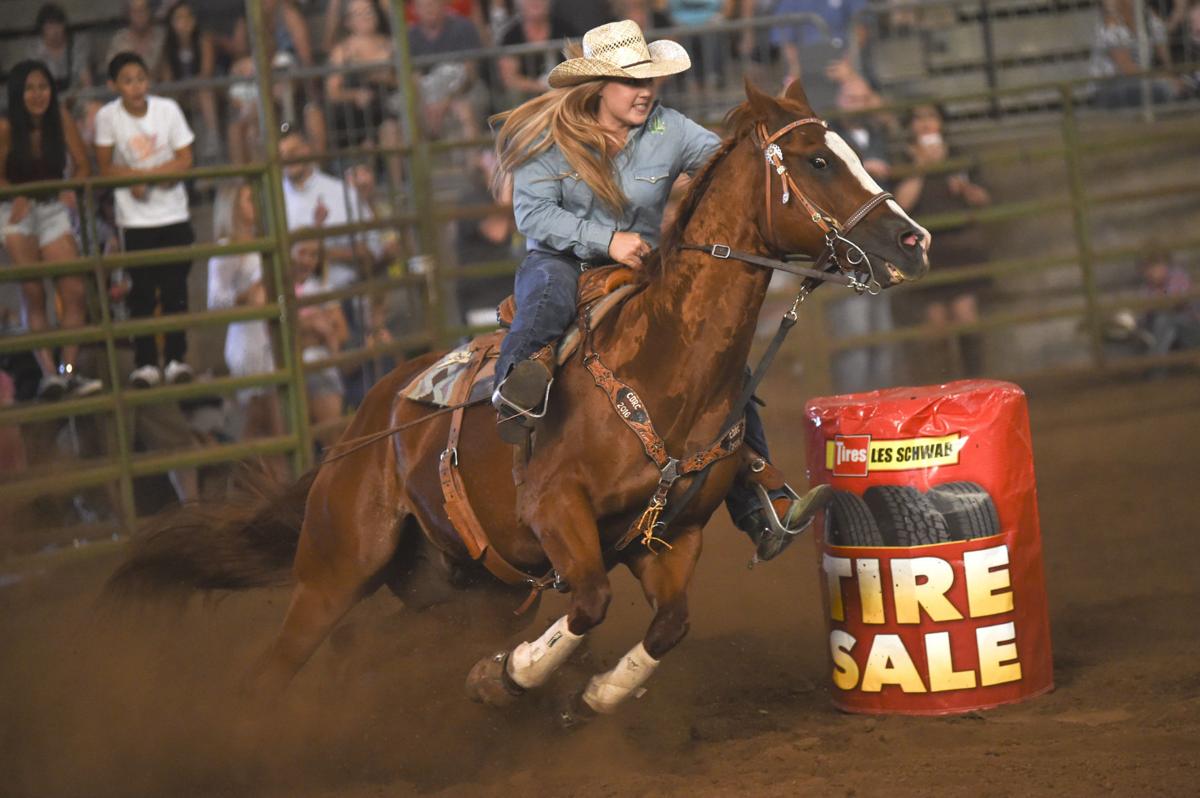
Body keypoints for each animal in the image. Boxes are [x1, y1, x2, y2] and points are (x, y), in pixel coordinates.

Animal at [110, 81, 926, 715]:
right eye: (819, 160)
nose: (912, 241)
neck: (663, 369)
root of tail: (358, 431)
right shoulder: (557, 512)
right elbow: (590, 604)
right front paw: (507, 679)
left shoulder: (672, 537)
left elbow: (669, 626)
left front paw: (595, 694)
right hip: (335, 572)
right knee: (277, 667)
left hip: (463, 592)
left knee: (370, 650)